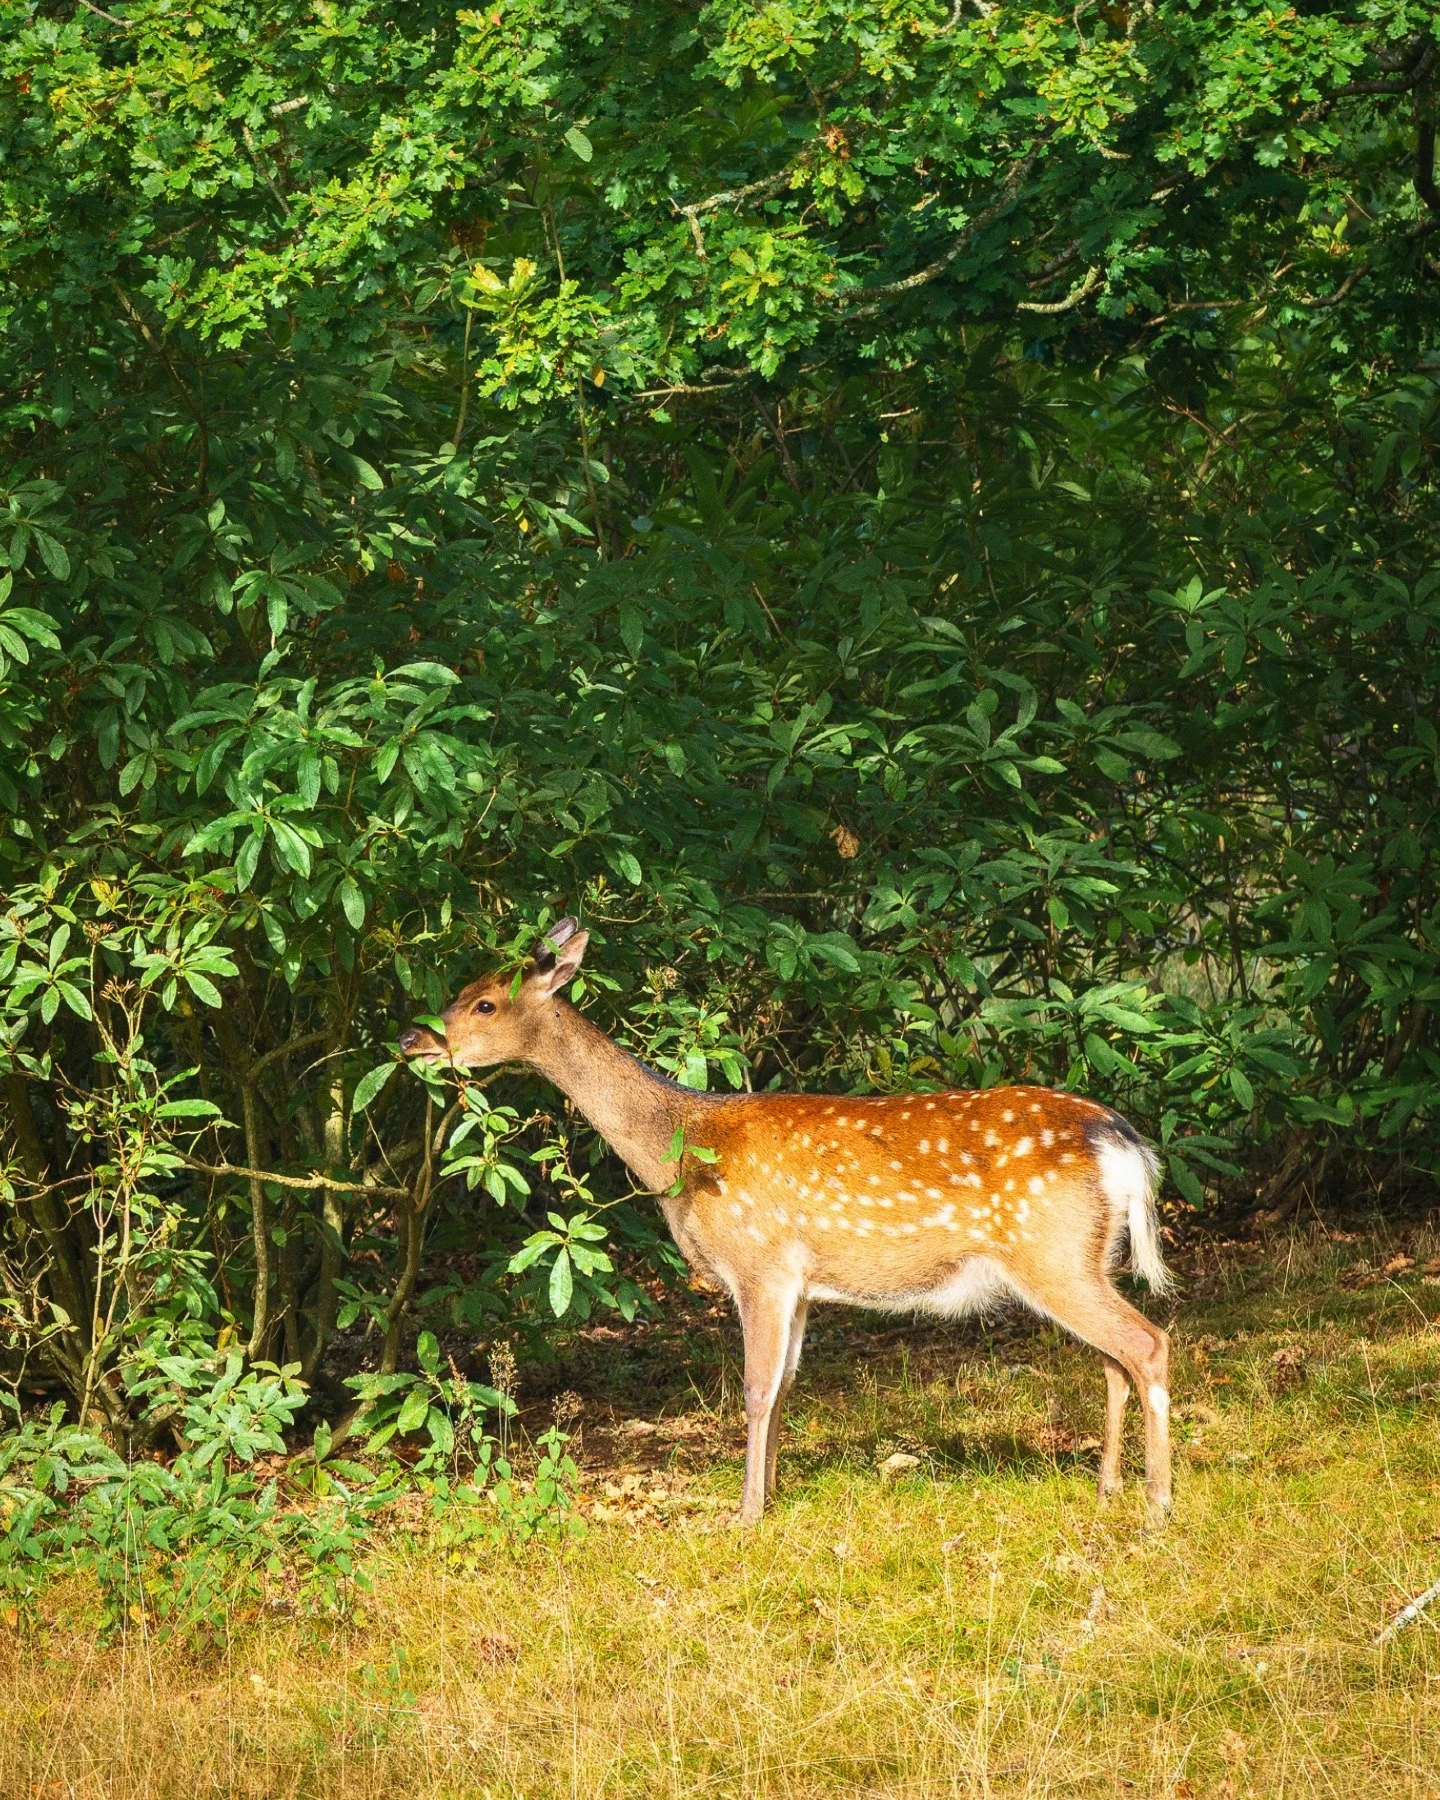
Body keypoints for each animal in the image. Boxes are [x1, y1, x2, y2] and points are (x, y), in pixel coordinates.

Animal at [399, 919, 1173, 1526]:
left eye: (483, 1002)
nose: (411, 1038)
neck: (683, 1150)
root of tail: (1122, 1142)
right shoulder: (798, 1281)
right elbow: (785, 1387)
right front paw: (768, 1497)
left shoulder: (759, 1262)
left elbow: (755, 1388)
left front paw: (743, 1514)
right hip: (1086, 1254)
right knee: (1114, 1357)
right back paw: (1108, 1489)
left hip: (1050, 1250)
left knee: (1147, 1342)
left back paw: (1157, 1504)